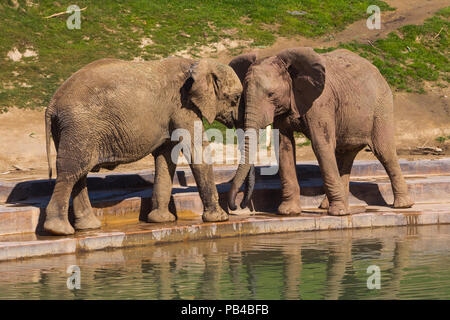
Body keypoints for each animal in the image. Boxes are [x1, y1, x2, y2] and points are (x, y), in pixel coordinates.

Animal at [44, 57, 243, 235]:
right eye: (236, 98)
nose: (236, 209)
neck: (196, 63)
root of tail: (52, 104)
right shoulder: (182, 105)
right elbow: (195, 149)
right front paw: (219, 218)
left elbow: (166, 156)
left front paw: (161, 220)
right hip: (80, 126)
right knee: (71, 171)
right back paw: (59, 230)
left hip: (72, 130)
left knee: (79, 173)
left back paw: (88, 227)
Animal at [229, 47, 414, 216]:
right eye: (243, 96)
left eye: (271, 94)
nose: (239, 206)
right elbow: (284, 147)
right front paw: (288, 212)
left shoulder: (321, 103)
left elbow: (320, 145)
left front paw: (338, 214)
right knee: (345, 156)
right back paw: (327, 206)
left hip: (381, 107)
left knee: (384, 152)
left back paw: (403, 206)